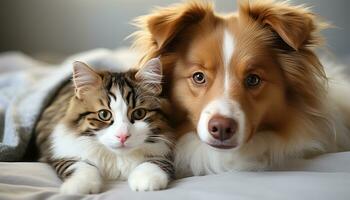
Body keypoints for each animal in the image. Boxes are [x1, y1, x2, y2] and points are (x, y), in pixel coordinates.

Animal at [34, 57, 174, 194]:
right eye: (104, 114)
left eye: (139, 113)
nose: (123, 136)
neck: (117, 157)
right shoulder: (59, 155)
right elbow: (80, 166)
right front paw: (81, 185)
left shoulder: (164, 152)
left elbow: (154, 162)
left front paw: (146, 179)